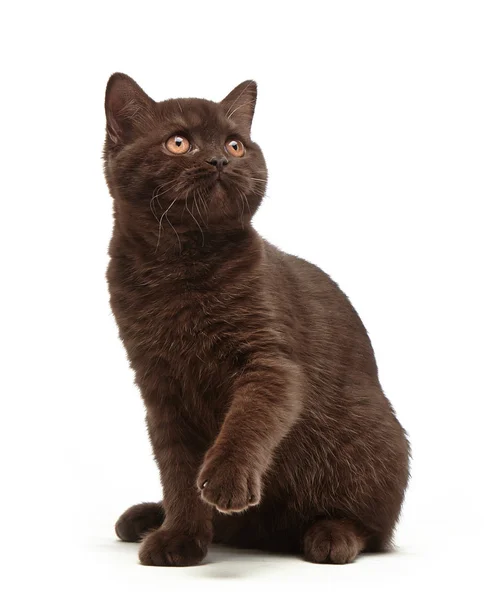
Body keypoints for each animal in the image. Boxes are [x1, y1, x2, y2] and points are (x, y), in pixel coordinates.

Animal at [103, 72, 408, 564]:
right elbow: (177, 470)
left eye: (235, 145)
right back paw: (149, 516)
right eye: (178, 142)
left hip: (375, 442)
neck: (178, 265)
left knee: (373, 528)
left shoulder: (270, 363)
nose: (219, 161)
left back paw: (331, 535)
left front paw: (225, 480)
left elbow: (247, 421)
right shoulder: (159, 388)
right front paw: (180, 537)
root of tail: (268, 536)